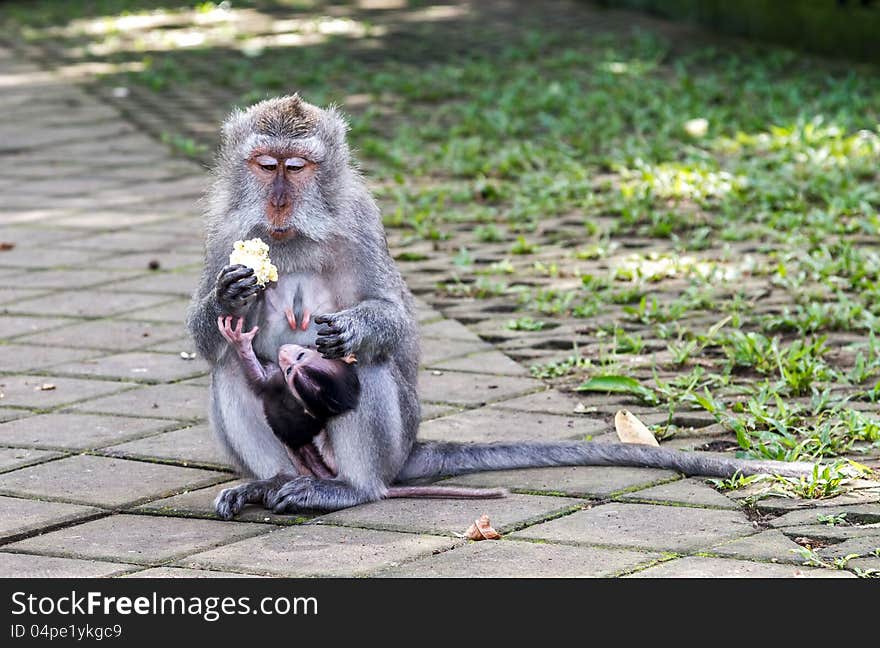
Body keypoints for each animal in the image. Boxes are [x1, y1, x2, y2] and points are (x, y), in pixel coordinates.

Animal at [215, 316, 502, 498]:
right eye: (300, 355)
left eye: (295, 363)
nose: (285, 354)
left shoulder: (277, 383)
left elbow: (258, 380)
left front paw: (240, 342)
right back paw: (271, 483)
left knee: (371, 361)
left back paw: (354, 489)